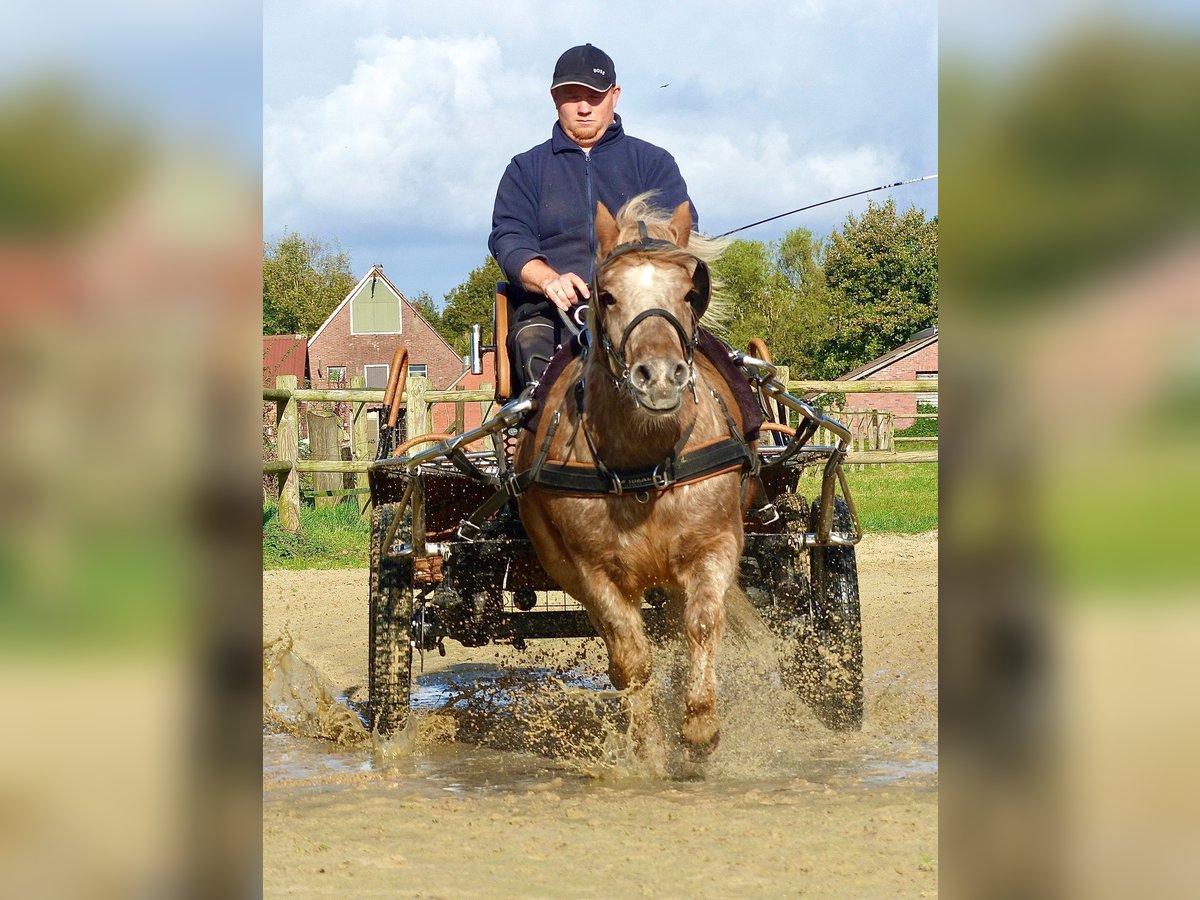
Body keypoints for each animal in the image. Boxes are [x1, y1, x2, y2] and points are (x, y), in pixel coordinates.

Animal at [513, 195, 753, 768]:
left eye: (691, 291)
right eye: (606, 295)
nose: (660, 376)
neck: (645, 464)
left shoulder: (716, 545)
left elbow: (701, 627)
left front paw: (699, 726)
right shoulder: (592, 571)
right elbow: (631, 659)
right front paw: (648, 749)